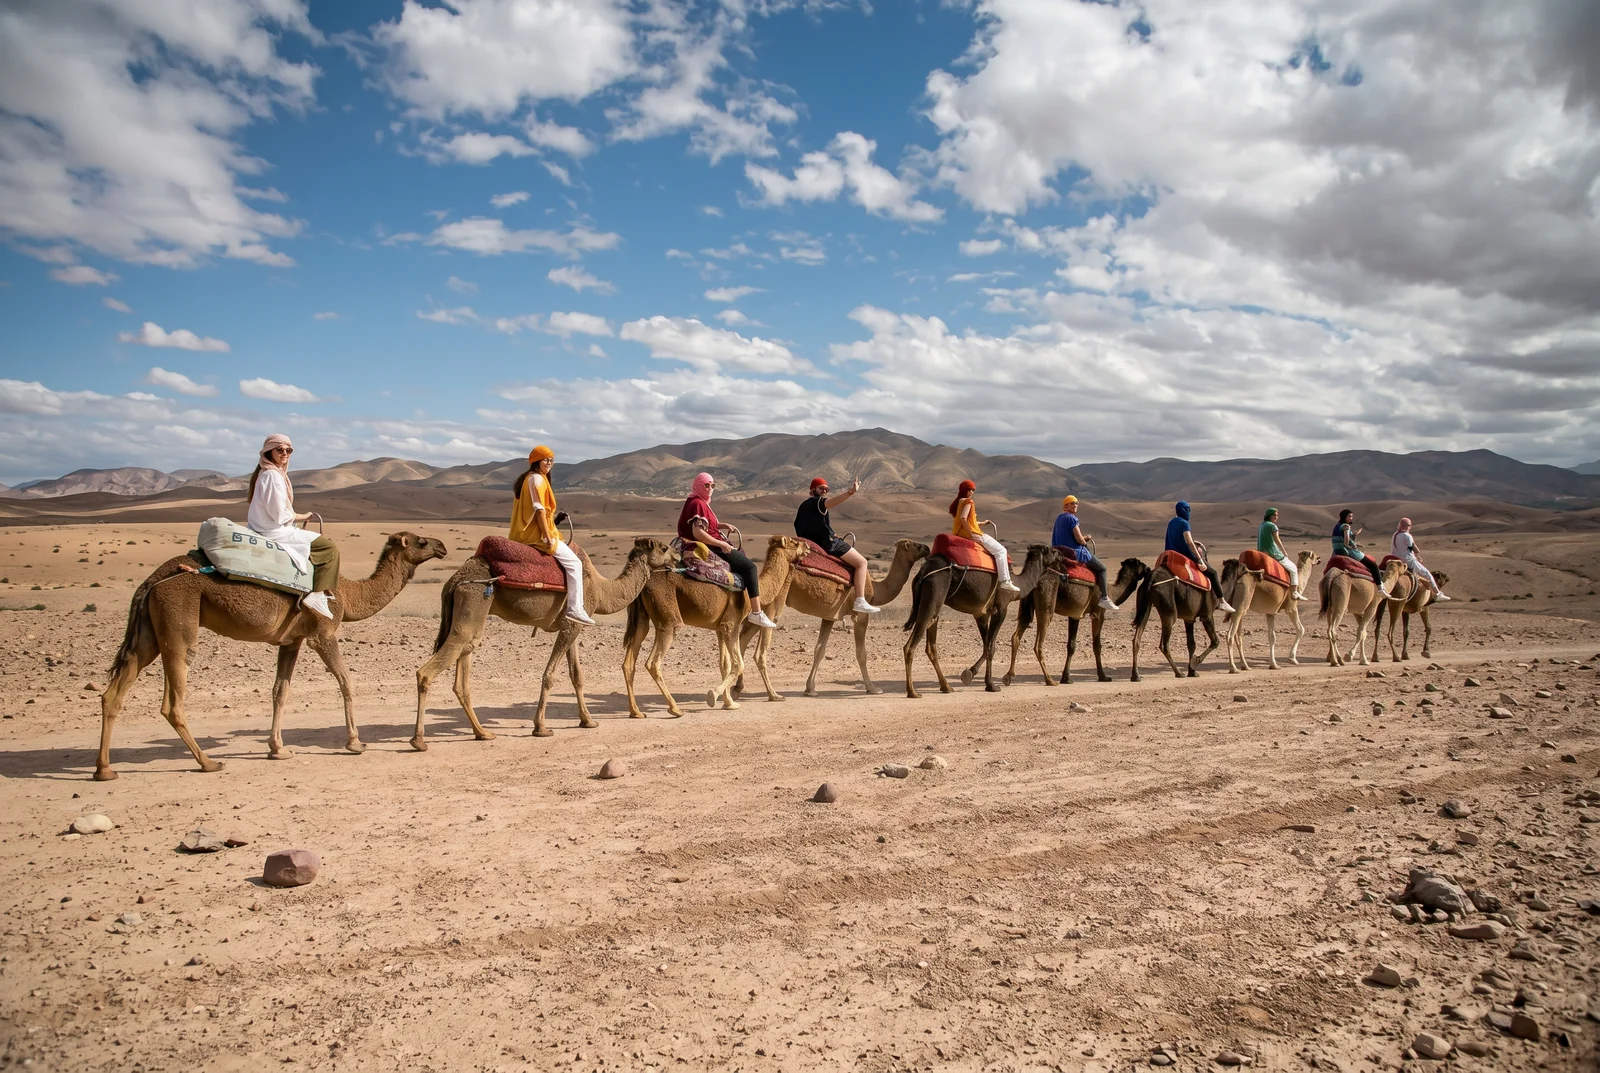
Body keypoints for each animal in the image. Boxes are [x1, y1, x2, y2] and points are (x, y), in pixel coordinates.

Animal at [95, 531, 447, 780]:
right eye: (421, 540)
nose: (443, 546)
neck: (348, 594)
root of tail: (151, 581)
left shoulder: (291, 641)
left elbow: (280, 691)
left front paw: (278, 749)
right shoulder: (323, 634)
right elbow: (346, 682)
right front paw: (355, 742)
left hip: (149, 633)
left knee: (114, 693)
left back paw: (105, 769)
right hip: (178, 623)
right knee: (172, 702)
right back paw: (208, 762)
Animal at [414, 537, 677, 747]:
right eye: (664, 548)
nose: (676, 558)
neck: (602, 589)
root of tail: (454, 580)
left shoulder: (572, 623)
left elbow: (577, 676)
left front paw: (588, 721)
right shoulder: (571, 626)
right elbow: (550, 675)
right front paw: (540, 727)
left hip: (470, 616)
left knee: (462, 672)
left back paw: (483, 733)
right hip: (474, 600)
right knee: (427, 672)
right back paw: (419, 740)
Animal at [622, 535, 813, 718]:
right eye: (794, 542)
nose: (808, 547)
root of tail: (644, 581)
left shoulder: (720, 628)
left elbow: (725, 664)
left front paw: (729, 703)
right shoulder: (731, 624)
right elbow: (738, 663)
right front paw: (713, 696)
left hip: (642, 618)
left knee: (629, 662)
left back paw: (636, 712)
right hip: (668, 619)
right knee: (653, 662)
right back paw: (675, 709)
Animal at [733, 538, 930, 700]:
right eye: (915, 545)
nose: (928, 548)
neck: (876, 587)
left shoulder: (829, 616)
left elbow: (819, 650)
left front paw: (810, 689)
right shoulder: (860, 615)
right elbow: (861, 653)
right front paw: (872, 688)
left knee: (742, 639)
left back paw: (738, 688)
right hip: (775, 603)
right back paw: (766, 693)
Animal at [902, 543, 1058, 697]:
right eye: (1051, 551)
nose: (1059, 554)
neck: (1018, 584)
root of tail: (923, 571)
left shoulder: (981, 614)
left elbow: (987, 646)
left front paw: (975, 676)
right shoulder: (1001, 608)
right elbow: (991, 647)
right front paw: (991, 685)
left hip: (933, 604)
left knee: (931, 644)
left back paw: (946, 686)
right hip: (934, 592)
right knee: (910, 645)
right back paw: (912, 692)